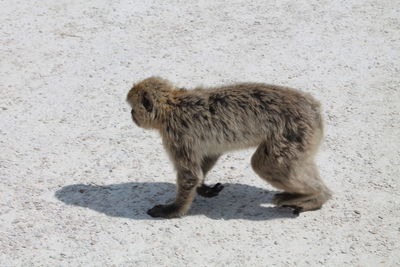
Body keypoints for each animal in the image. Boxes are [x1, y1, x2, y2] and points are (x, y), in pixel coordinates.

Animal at [126, 76, 332, 219]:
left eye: (133, 108)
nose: (131, 115)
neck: (172, 105)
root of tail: (314, 109)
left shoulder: (176, 135)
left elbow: (190, 175)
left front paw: (173, 210)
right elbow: (210, 154)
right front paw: (203, 188)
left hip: (292, 133)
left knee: (266, 164)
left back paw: (318, 196)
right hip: (304, 139)